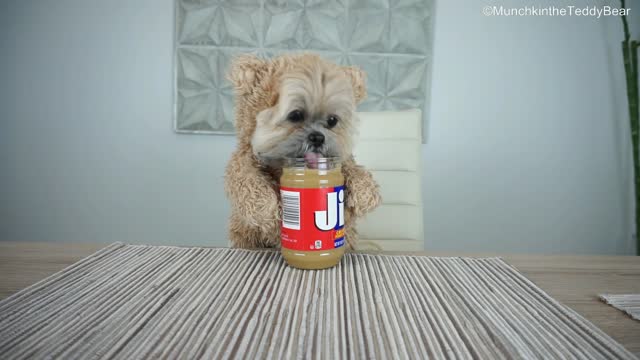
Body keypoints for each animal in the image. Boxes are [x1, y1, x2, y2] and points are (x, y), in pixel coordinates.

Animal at [225, 53, 380, 249]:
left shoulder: (344, 164)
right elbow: (244, 178)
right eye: (295, 115)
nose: (318, 137)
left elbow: (356, 172)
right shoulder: (244, 160)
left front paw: (365, 195)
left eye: (332, 120)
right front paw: (265, 210)